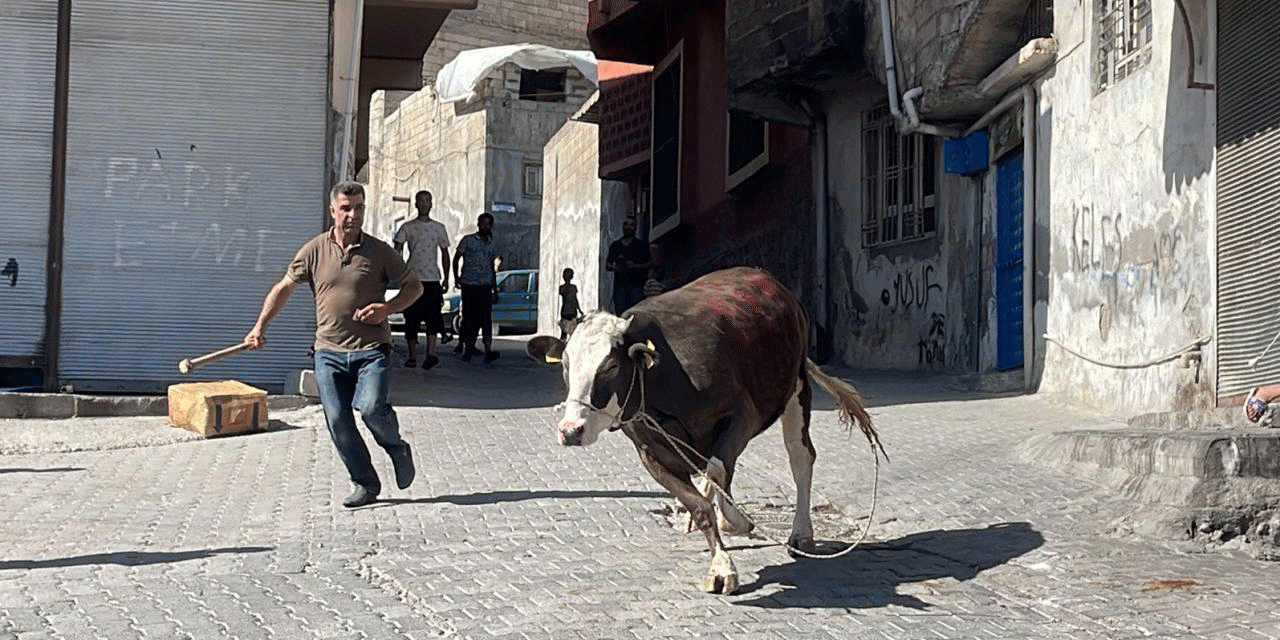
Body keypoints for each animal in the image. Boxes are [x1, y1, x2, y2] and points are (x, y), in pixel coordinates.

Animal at [524, 266, 885, 593]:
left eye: (611, 365)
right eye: (566, 364)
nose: (571, 430)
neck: (662, 381)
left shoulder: (741, 417)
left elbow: (717, 472)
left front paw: (732, 526)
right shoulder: (650, 451)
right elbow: (700, 501)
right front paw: (721, 561)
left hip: (796, 389)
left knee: (800, 459)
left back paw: (801, 532)